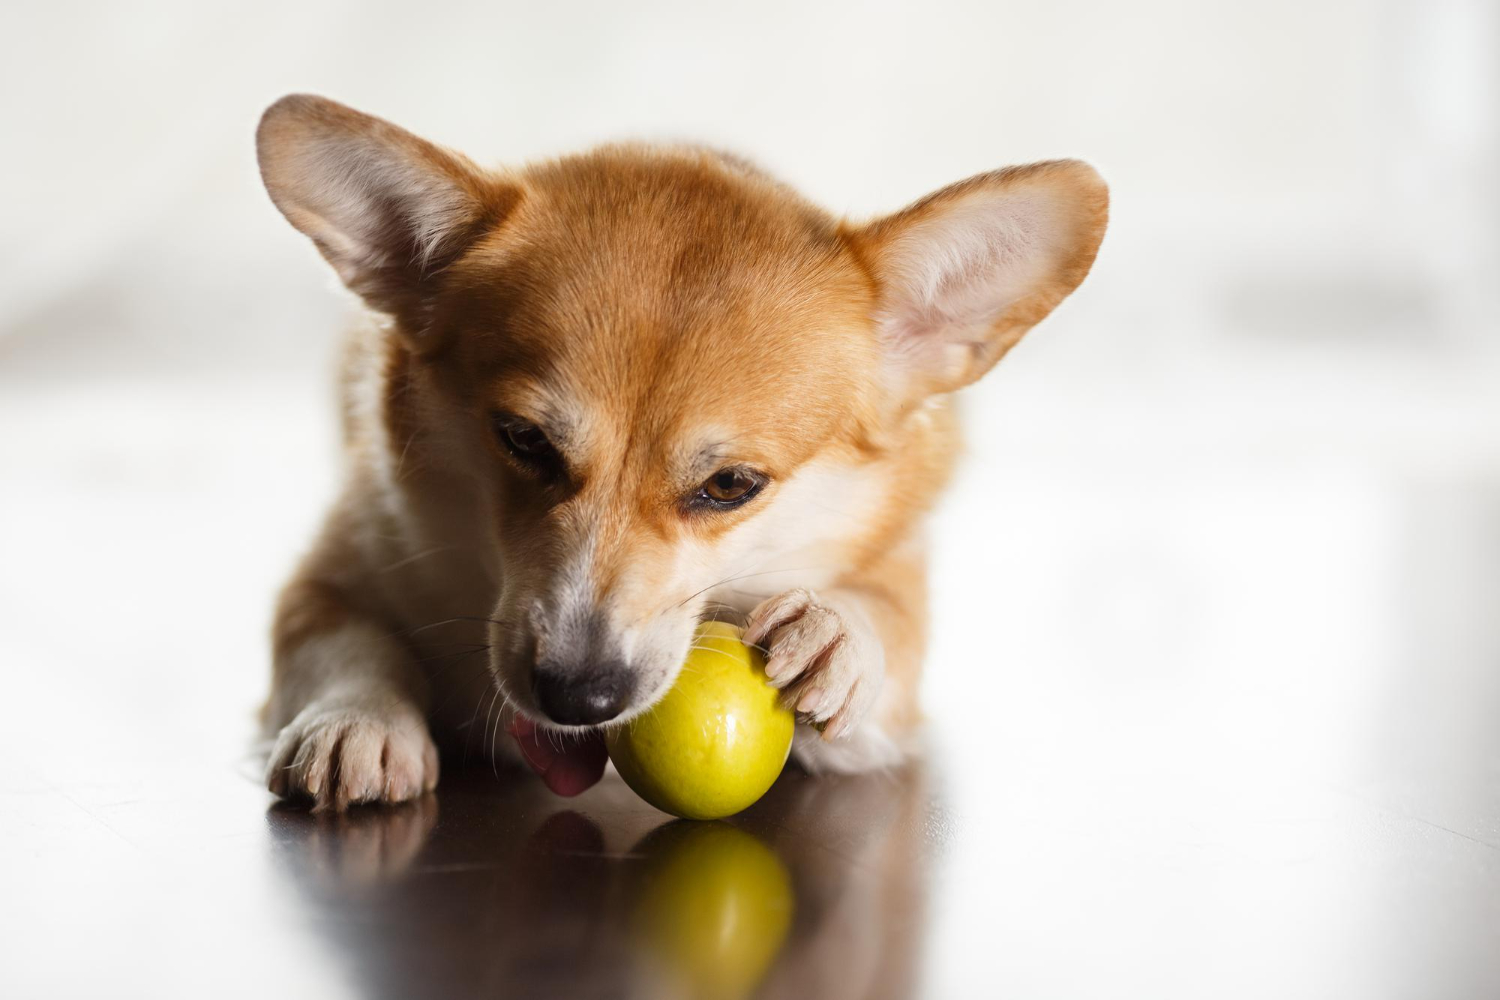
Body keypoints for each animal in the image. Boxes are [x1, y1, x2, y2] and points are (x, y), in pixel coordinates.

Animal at [255, 93, 1104, 815]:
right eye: (524, 440)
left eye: (730, 484)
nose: (577, 697)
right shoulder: (341, 565)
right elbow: (341, 640)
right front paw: (353, 722)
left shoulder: (890, 617)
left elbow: (887, 625)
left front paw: (837, 635)